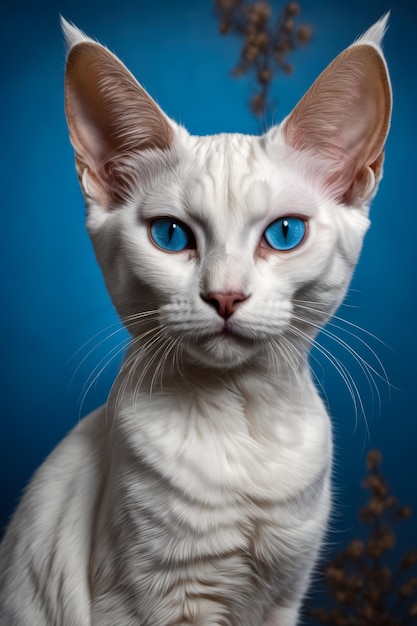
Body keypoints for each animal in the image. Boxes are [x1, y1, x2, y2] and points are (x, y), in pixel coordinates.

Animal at [0, 14, 390, 624]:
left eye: (285, 233)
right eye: (170, 235)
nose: (225, 295)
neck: (244, 417)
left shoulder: (283, 596)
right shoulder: (145, 599)